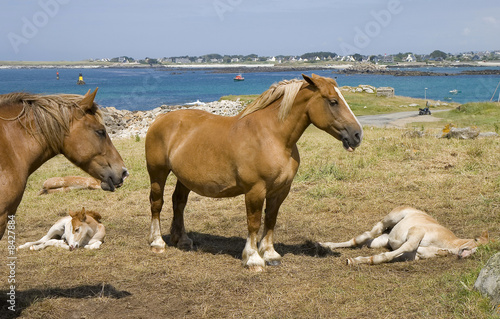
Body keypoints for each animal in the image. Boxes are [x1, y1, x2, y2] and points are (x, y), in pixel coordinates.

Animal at [146, 75, 362, 272]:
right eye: (333, 101)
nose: (357, 135)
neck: (272, 137)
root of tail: (160, 119)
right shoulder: (255, 190)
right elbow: (254, 222)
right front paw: (253, 259)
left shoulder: (280, 190)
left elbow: (271, 219)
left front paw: (270, 254)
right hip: (158, 173)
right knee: (157, 203)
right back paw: (157, 243)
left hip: (184, 178)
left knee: (179, 202)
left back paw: (182, 239)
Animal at [320, 206, 488, 266]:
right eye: (476, 240)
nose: (464, 254)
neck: (446, 244)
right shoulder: (416, 231)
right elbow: (407, 245)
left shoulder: (412, 255)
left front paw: (356, 260)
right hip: (391, 218)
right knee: (367, 234)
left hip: (383, 239)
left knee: (362, 241)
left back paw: (326, 245)